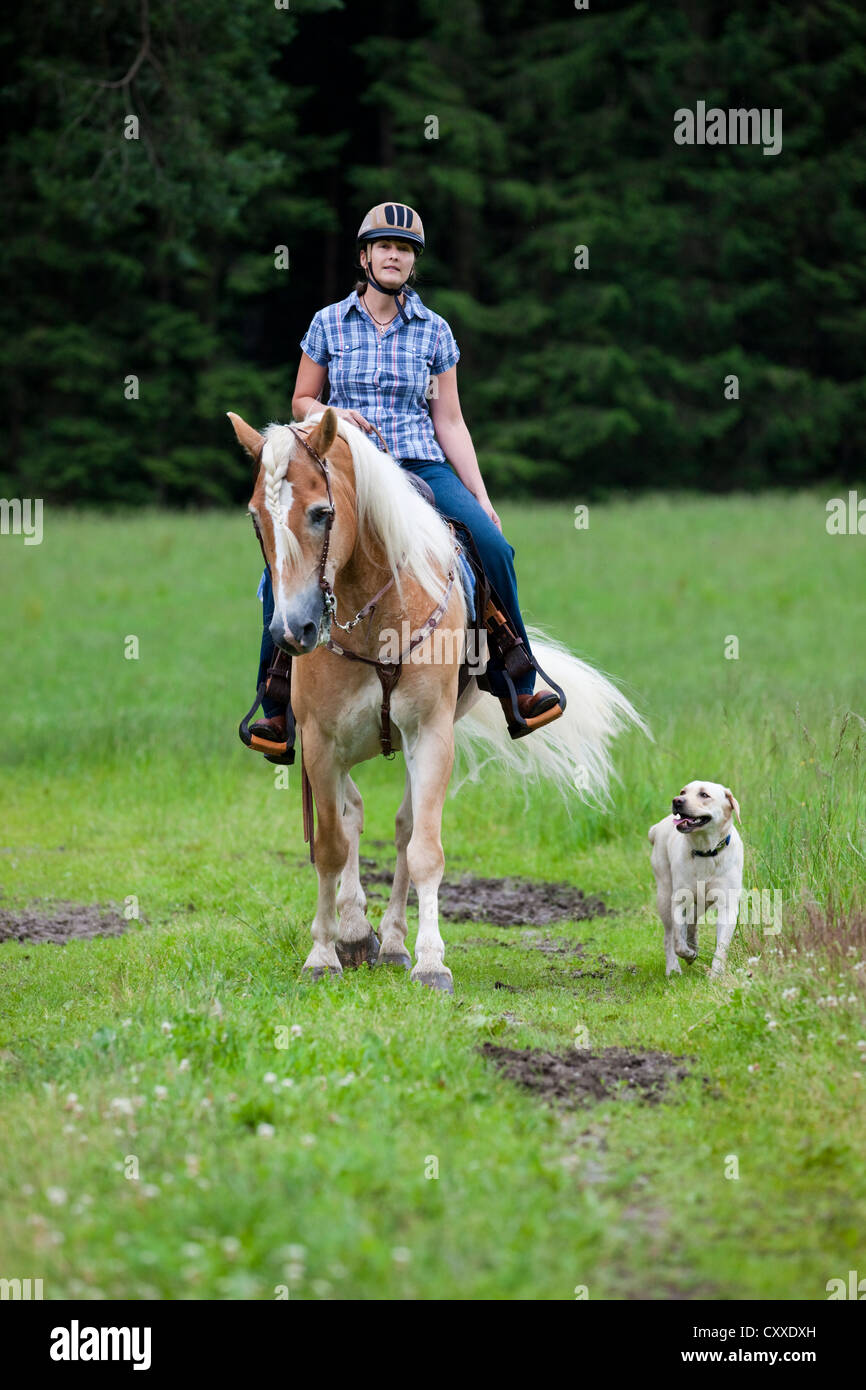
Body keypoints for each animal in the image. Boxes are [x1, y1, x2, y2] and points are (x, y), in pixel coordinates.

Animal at [226, 405, 647, 995]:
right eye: (255, 519)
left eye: (321, 513)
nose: (292, 631)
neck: (370, 612)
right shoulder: (319, 741)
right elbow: (330, 845)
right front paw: (324, 954)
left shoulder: (429, 734)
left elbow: (423, 848)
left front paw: (429, 962)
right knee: (352, 816)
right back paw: (354, 932)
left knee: (402, 827)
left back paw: (392, 942)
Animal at [650, 783, 745, 978]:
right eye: (683, 792)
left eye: (704, 795)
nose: (677, 801)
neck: (705, 852)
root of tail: (657, 827)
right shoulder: (679, 899)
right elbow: (677, 940)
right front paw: (688, 954)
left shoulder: (727, 905)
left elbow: (721, 945)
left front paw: (716, 974)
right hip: (664, 894)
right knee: (669, 935)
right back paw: (673, 968)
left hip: (702, 901)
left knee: (692, 920)